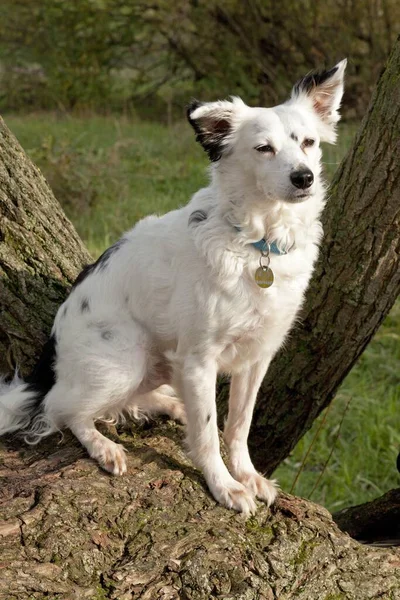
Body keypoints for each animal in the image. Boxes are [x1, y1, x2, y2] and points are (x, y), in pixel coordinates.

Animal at [0, 61, 346, 512]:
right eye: (263, 149)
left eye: (308, 142)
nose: (303, 178)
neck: (257, 242)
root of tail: (54, 343)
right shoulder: (199, 359)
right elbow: (208, 432)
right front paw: (224, 485)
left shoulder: (257, 357)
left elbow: (238, 425)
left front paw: (248, 475)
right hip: (124, 357)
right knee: (62, 408)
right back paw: (103, 445)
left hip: (155, 364)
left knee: (129, 400)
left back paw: (170, 404)